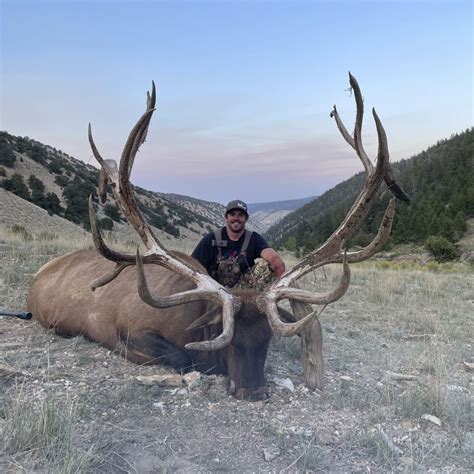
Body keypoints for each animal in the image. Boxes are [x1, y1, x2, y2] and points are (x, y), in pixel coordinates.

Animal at [27, 73, 410, 400]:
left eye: (267, 338)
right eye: (231, 340)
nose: (254, 392)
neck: (193, 324)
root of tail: (38, 275)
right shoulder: (130, 328)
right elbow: (183, 359)